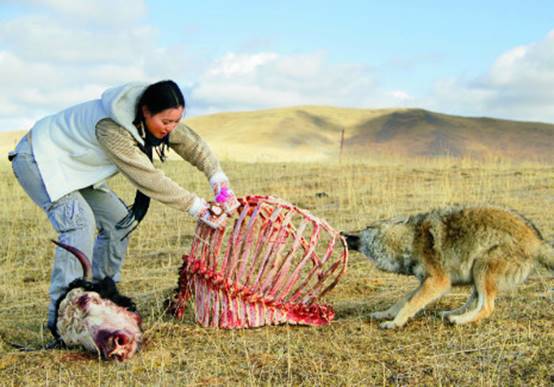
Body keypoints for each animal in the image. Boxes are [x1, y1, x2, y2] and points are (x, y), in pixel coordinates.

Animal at [342, 208, 548, 328]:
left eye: (367, 227)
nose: (342, 232)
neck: (411, 240)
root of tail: (538, 241)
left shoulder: (437, 282)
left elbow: (410, 304)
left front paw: (395, 323)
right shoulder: (425, 281)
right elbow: (402, 300)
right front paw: (385, 314)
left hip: (481, 269)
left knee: (487, 307)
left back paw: (458, 320)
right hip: (476, 275)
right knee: (474, 302)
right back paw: (450, 314)